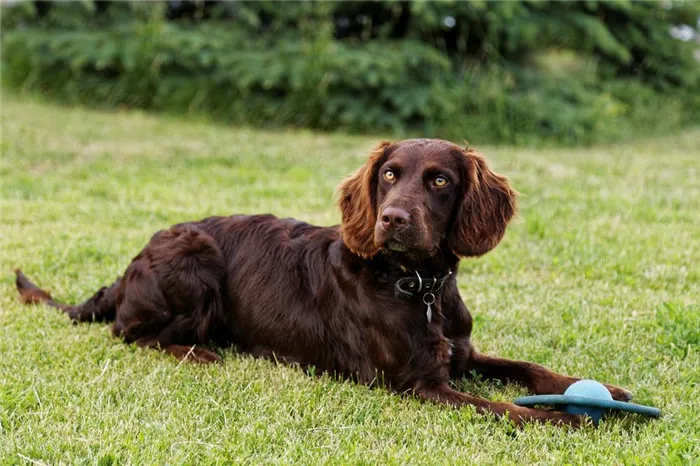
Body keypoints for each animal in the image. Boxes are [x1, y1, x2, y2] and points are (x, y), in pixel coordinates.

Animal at [16, 138, 632, 426]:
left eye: (439, 180)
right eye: (389, 175)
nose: (393, 219)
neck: (418, 285)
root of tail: (127, 269)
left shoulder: (460, 354)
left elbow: (525, 369)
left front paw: (602, 391)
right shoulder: (417, 385)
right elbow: (508, 408)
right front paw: (568, 421)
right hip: (194, 258)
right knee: (134, 334)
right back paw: (202, 353)